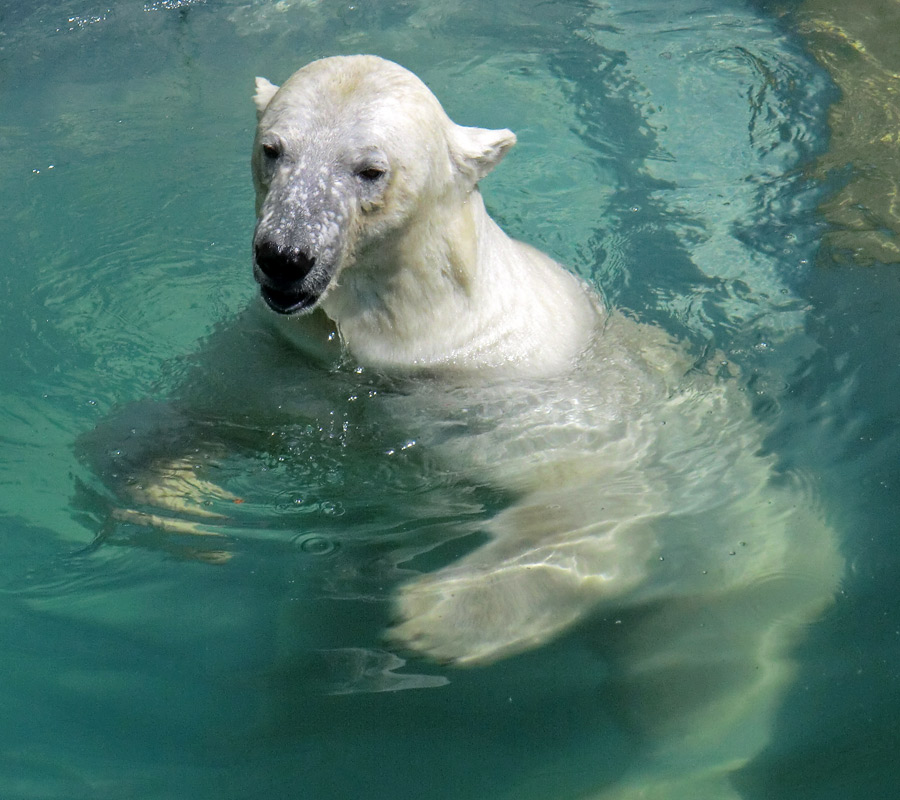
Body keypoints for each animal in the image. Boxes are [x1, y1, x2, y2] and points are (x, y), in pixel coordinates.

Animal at [88, 53, 840, 796]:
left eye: (370, 169)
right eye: (274, 150)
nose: (284, 254)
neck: (414, 340)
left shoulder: (526, 395)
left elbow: (591, 500)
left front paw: (436, 614)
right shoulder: (291, 358)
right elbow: (208, 412)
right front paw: (170, 497)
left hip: (745, 553)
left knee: (702, 669)